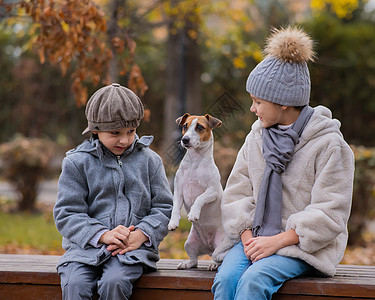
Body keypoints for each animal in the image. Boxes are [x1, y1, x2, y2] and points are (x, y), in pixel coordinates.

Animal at [169, 113, 231, 272]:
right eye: (185, 126)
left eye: (200, 127)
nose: (185, 140)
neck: (195, 162)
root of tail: (208, 248)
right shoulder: (178, 190)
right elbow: (175, 208)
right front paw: (173, 222)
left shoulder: (212, 191)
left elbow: (199, 198)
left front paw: (193, 213)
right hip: (189, 243)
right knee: (194, 260)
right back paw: (187, 263)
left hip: (220, 246)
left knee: (218, 259)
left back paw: (214, 264)